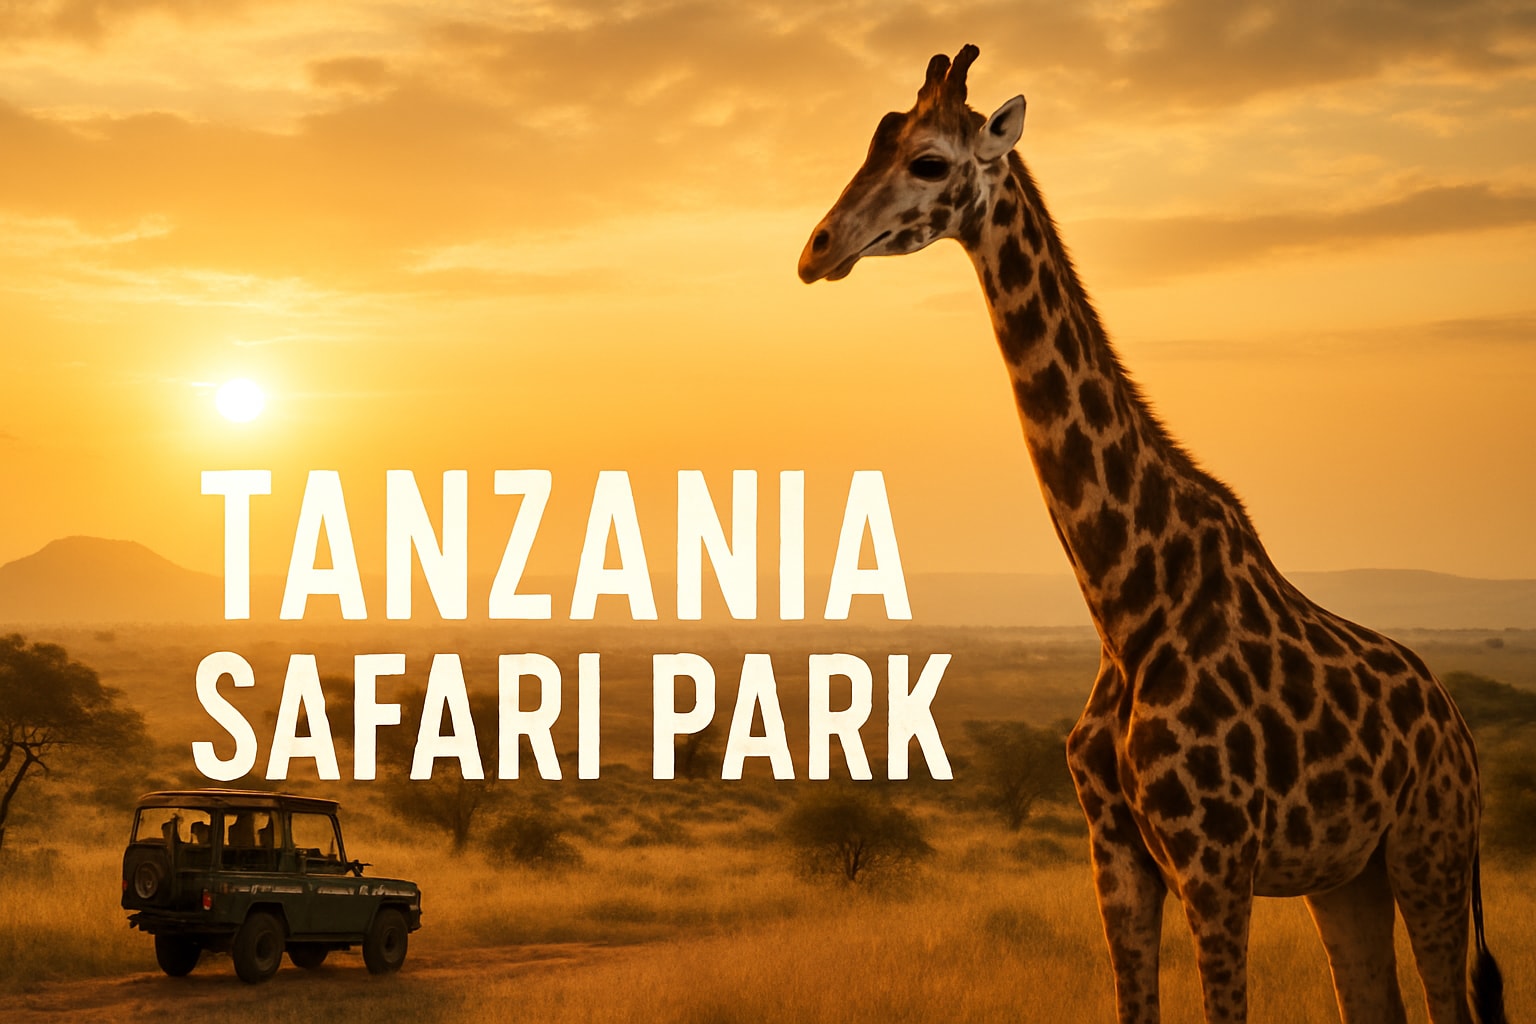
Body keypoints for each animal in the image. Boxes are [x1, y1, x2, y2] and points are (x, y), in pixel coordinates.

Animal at [797, 45, 1507, 1024]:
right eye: (873, 144)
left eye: (930, 162)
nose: (818, 249)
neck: (1124, 601)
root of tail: (1458, 725)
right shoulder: (1117, 852)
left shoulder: (1215, 859)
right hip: (1346, 876)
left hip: (1429, 850)